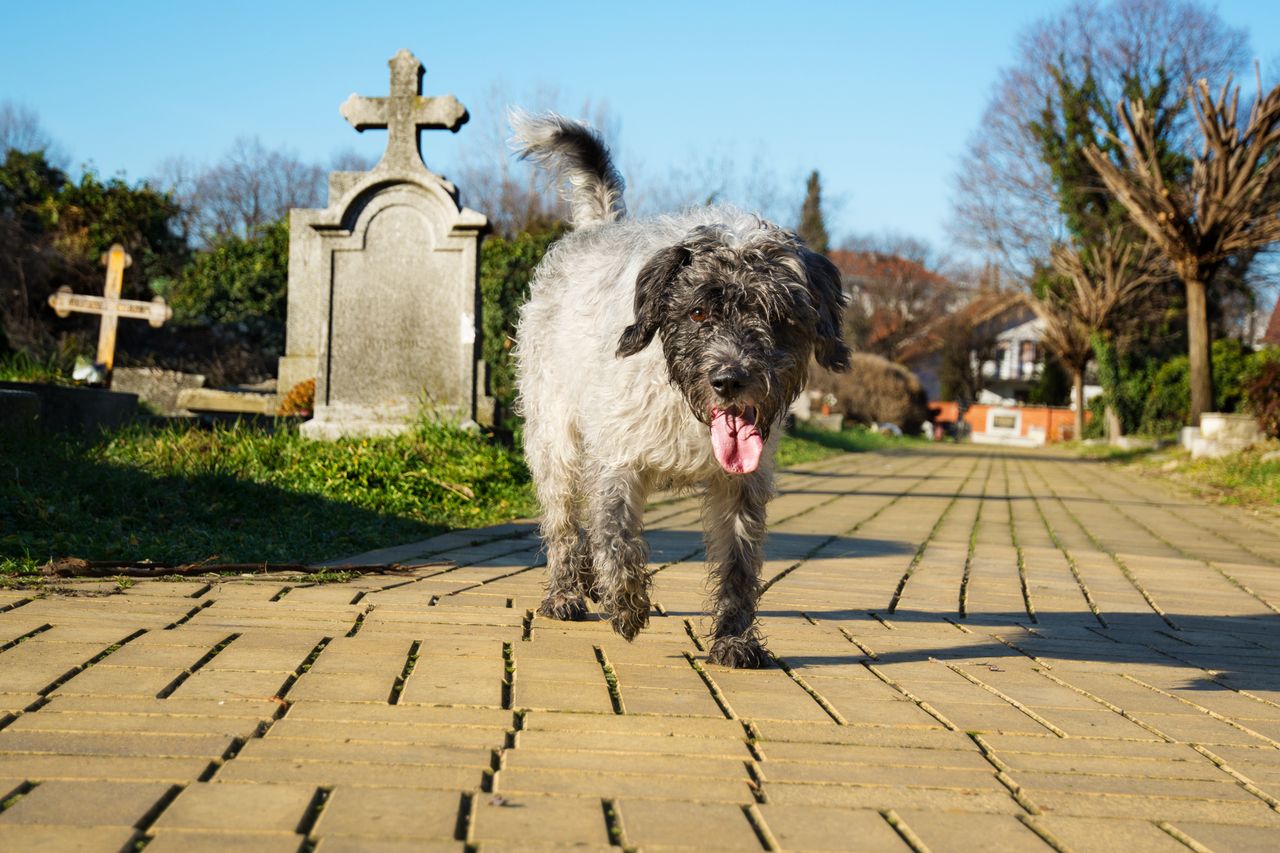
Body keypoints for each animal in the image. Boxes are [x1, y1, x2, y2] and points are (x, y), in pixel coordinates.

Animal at [509, 111, 849, 666]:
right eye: (698, 313)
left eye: (778, 317)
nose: (729, 380)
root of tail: (600, 226)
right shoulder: (618, 459)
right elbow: (616, 535)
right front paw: (627, 605)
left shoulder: (742, 486)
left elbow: (738, 566)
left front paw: (734, 638)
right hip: (554, 440)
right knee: (563, 523)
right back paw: (566, 592)